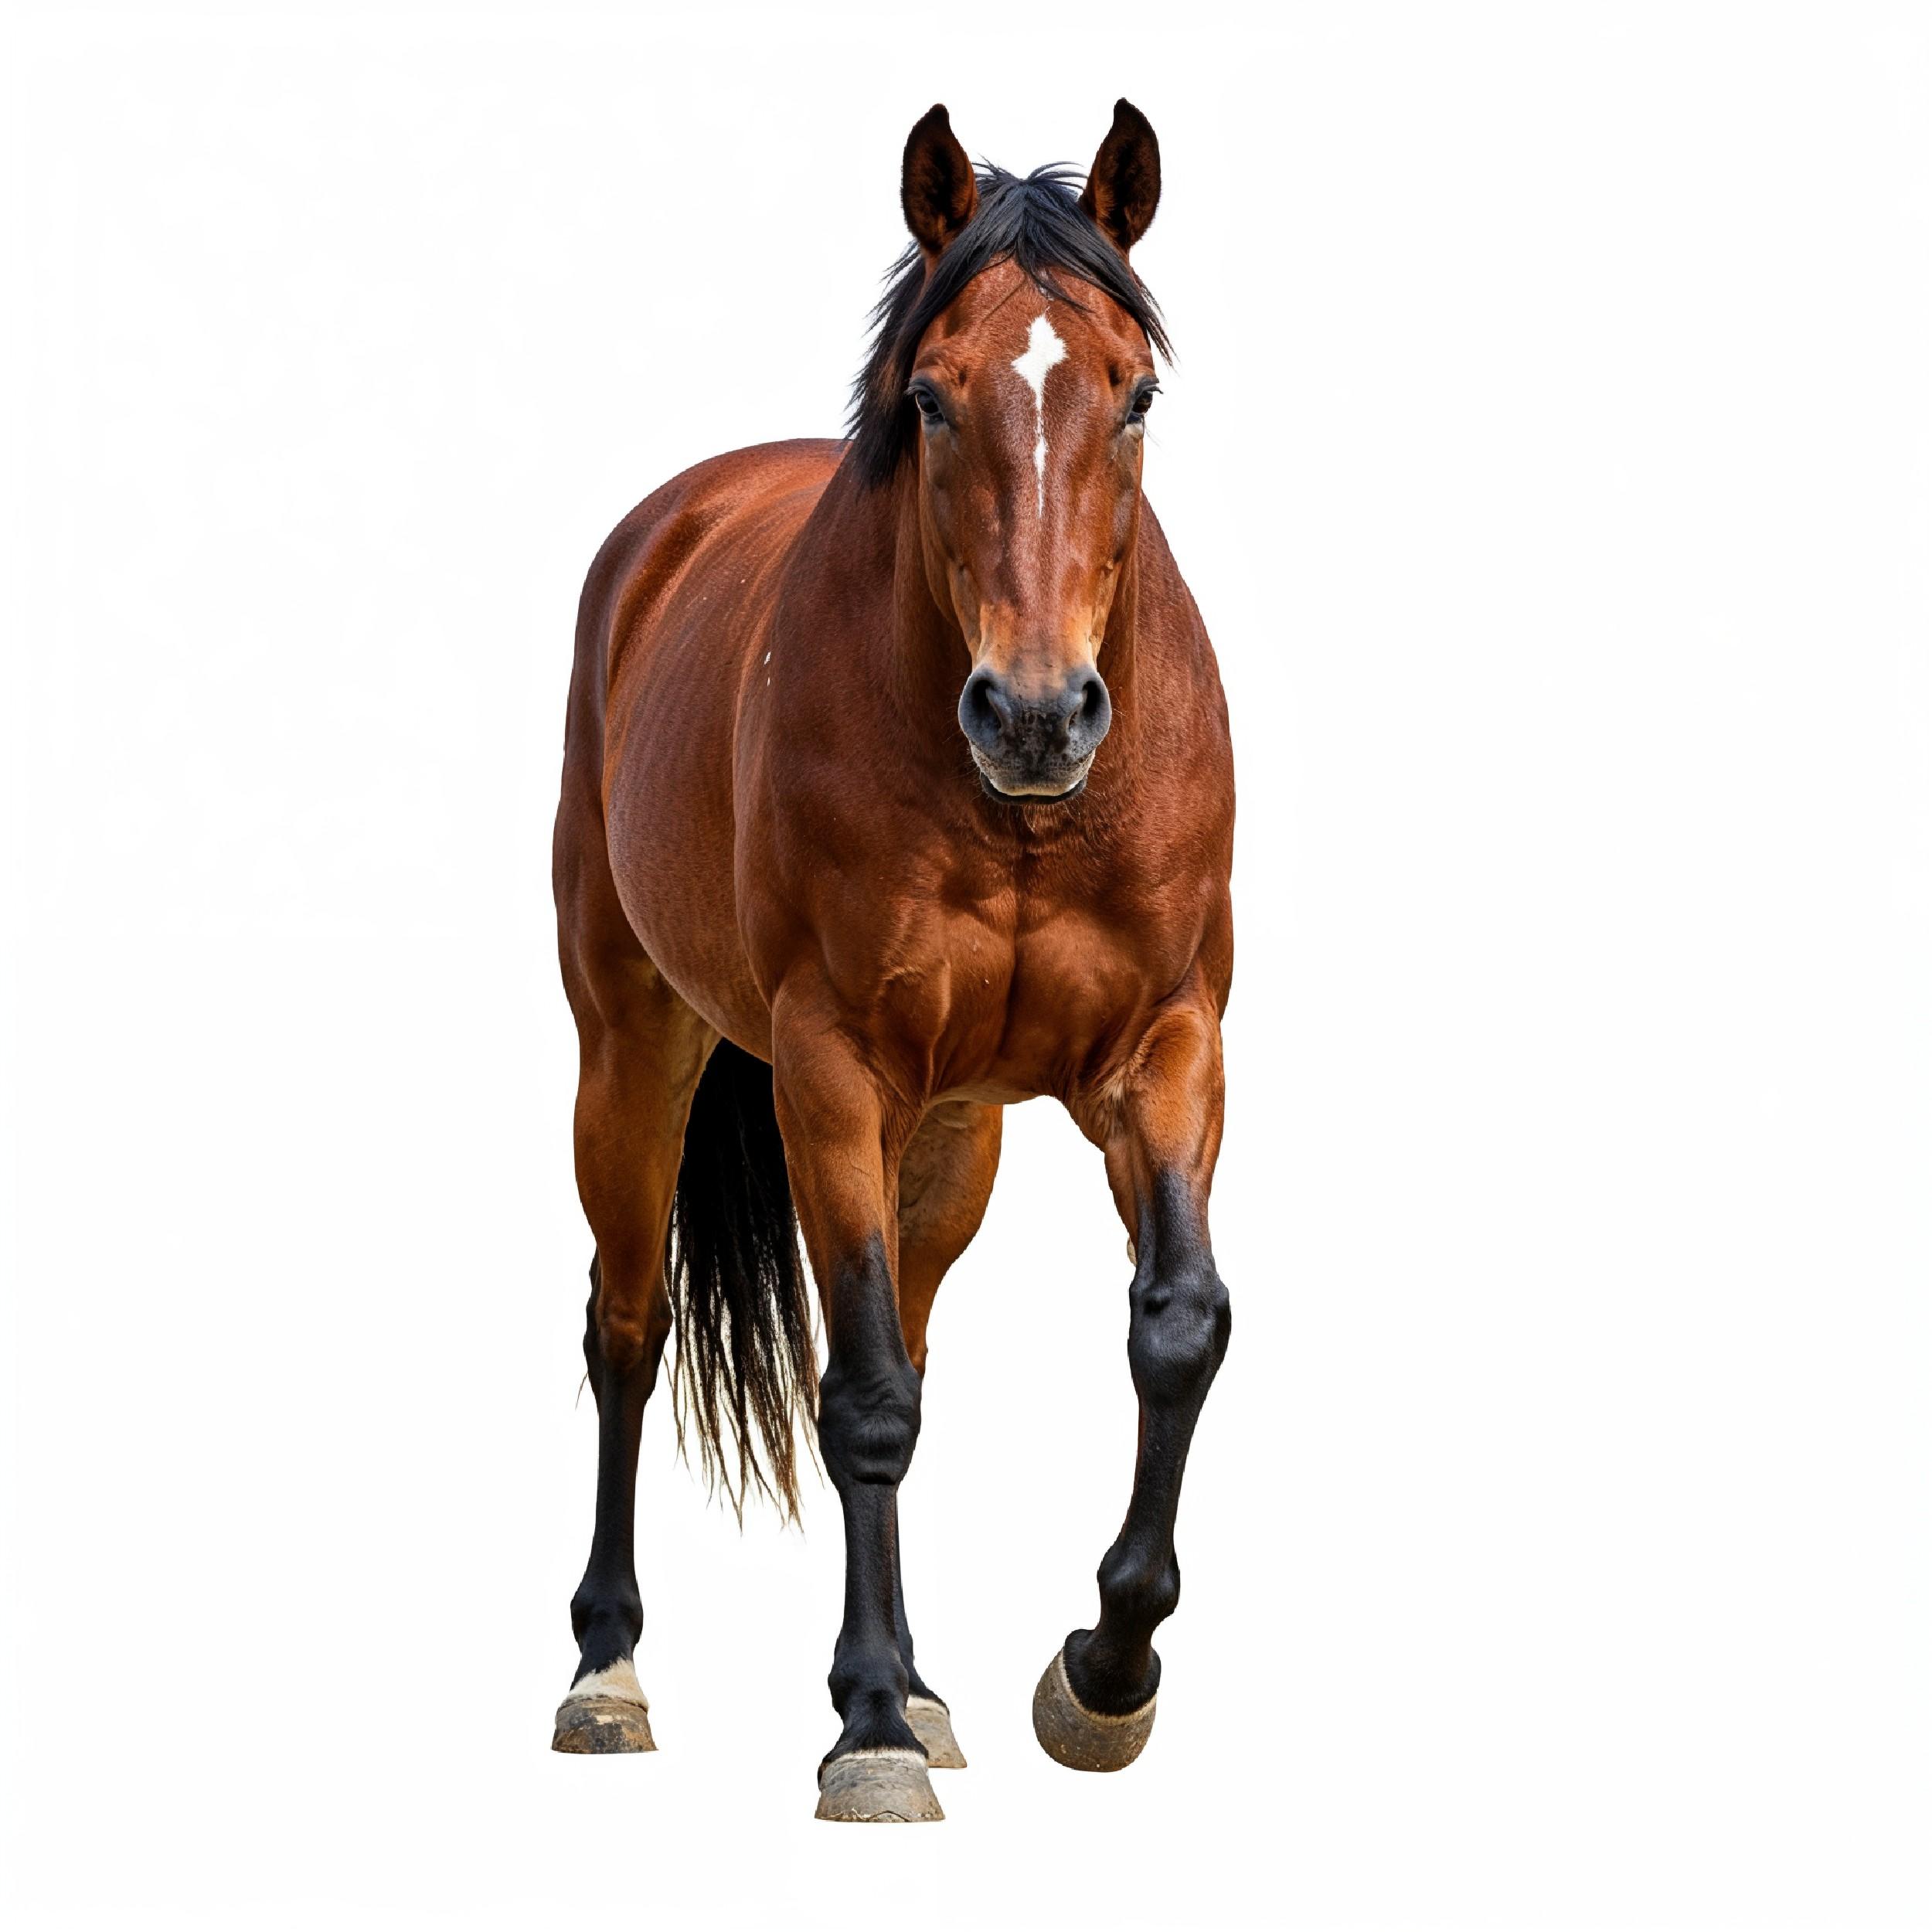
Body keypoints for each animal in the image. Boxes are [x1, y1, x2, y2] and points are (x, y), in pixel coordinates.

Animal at [550, 98, 1234, 1823]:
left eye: (1132, 393)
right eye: (932, 396)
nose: (1038, 715)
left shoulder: (1166, 1049)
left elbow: (1175, 1324)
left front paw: (1099, 1676)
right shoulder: (830, 1070)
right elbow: (856, 1393)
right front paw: (861, 1727)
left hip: (953, 1131)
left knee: (906, 1336)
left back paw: (926, 1688)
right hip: (632, 1050)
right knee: (627, 1326)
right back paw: (607, 1672)